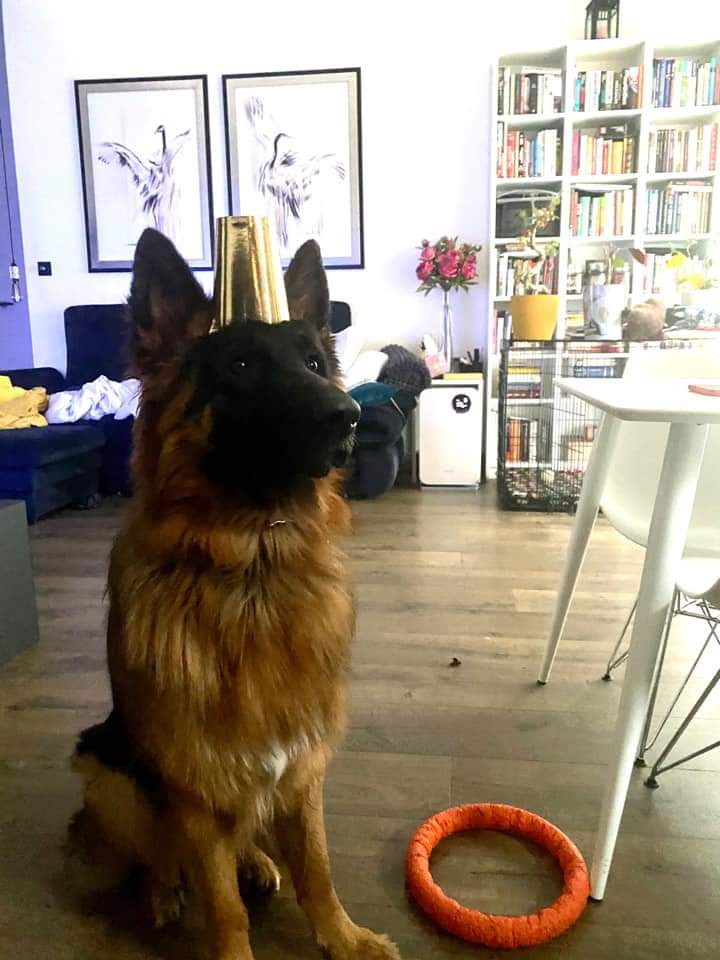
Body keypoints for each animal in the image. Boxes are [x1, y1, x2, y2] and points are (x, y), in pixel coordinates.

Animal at [67, 228, 400, 960]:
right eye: (242, 364)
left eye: (314, 362)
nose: (348, 415)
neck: (253, 570)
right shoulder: (194, 787)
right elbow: (222, 905)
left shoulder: (302, 770)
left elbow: (318, 868)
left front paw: (344, 938)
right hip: (108, 774)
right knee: (160, 853)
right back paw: (165, 890)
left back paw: (256, 860)